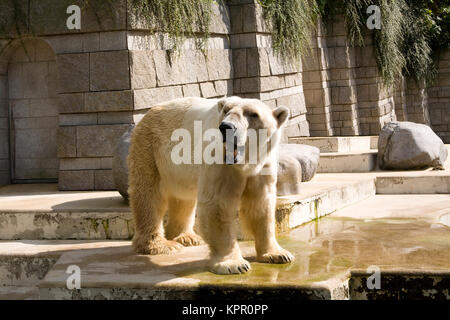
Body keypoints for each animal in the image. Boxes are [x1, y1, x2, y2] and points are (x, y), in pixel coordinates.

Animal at [127, 96, 296, 274]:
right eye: (226, 110)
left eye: (253, 114)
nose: (226, 127)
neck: (244, 163)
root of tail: (147, 114)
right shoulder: (218, 159)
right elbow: (218, 204)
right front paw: (233, 264)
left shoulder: (264, 164)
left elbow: (260, 204)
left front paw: (278, 254)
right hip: (151, 149)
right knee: (149, 195)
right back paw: (161, 245)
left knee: (183, 199)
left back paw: (187, 237)